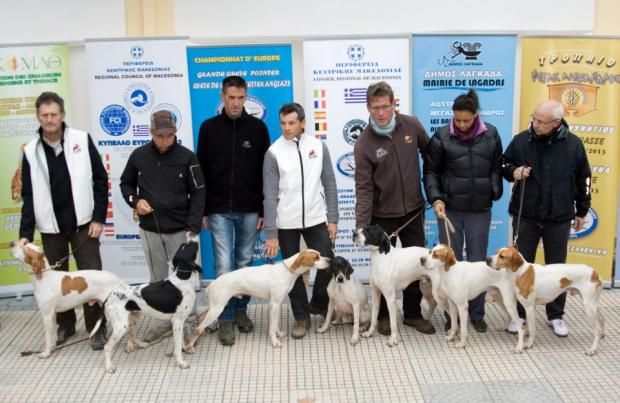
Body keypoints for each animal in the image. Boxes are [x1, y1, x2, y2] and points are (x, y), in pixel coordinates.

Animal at [91, 235, 201, 374]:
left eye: (185, 245)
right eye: (190, 246)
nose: (191, 234)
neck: (182, 279)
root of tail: (109, 296)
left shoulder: (180, 322)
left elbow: (179, 341)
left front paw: (184, 349)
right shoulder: (177, 321)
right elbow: (176, 345)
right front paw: (180, 362)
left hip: (134, 319)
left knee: (132, 334)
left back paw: (141, 344)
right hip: (121, 325)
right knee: (107, 347)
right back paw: (109, 367)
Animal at [186, 251, 332, 352]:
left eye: (320, 254)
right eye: (316, 257)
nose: (329, 260)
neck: (287, 271)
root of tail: (211, 284)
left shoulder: (275, 304)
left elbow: (275, 324)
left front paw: (278, 334)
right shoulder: (275, 304)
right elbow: (272, 327)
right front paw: (275, 342)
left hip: (216, 306)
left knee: (199, 318)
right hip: (217, 309)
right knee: (197, 329)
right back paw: (189, 347)